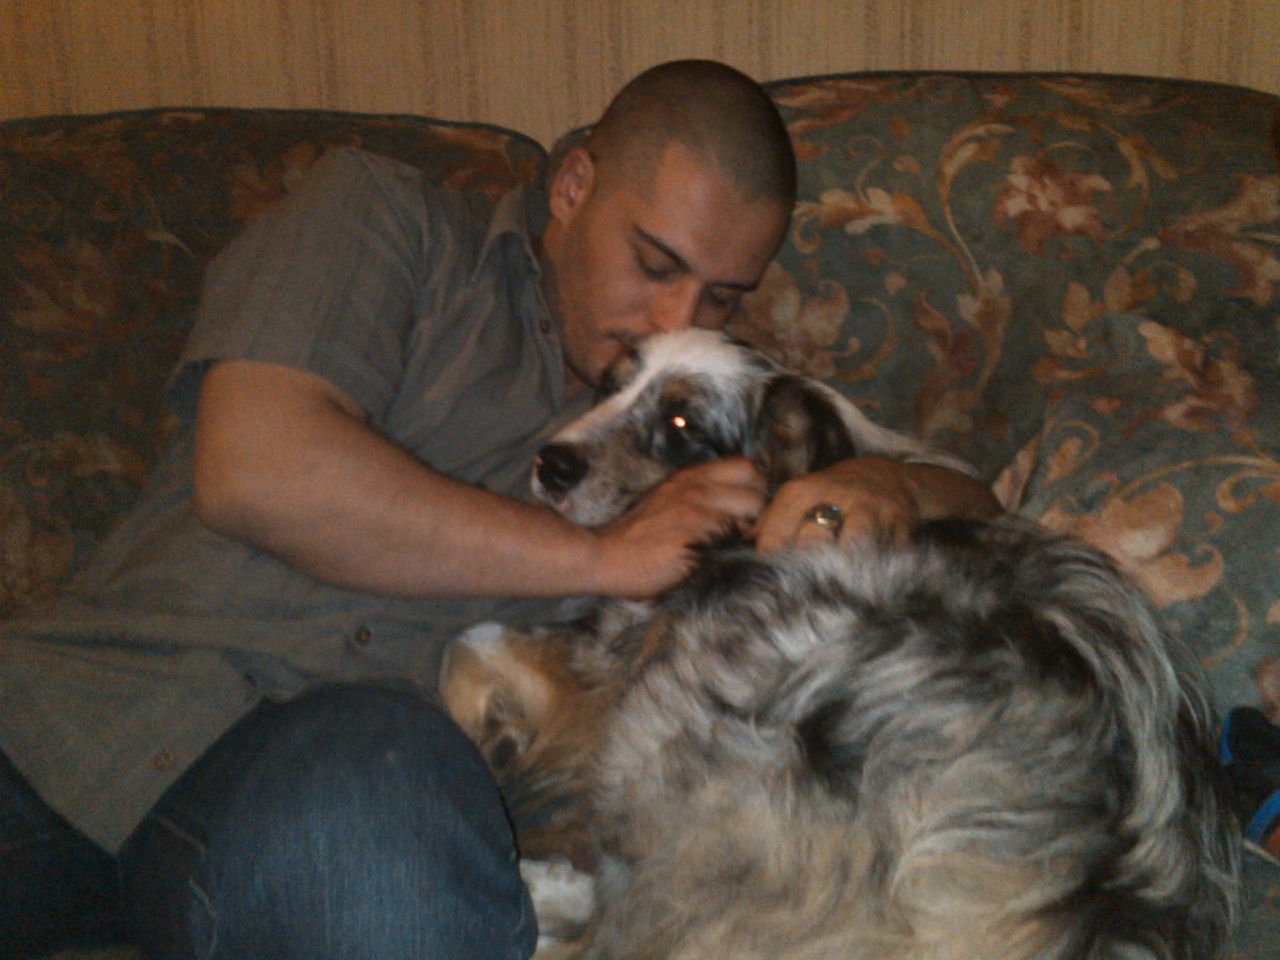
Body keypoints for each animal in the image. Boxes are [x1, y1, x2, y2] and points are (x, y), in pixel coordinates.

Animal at [441, 329, 1240, 959]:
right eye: (610, 386)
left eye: (680, 418)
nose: (551, 463)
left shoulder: (644, 658)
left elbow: (472, 645)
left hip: (697, 721)